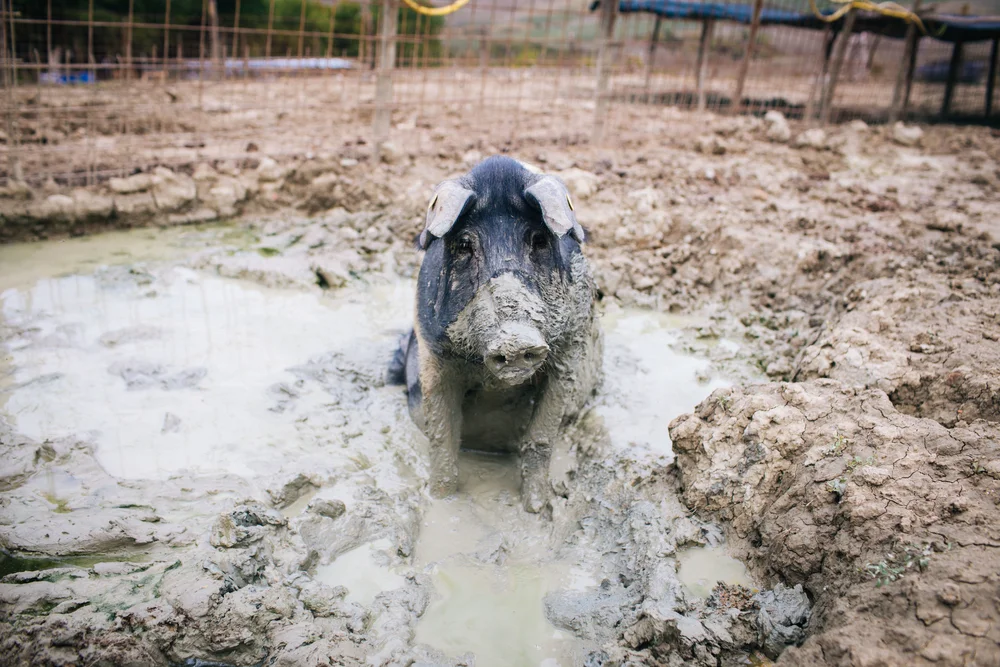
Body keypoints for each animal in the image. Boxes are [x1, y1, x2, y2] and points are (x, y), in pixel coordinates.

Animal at [389, 156, 602, 513]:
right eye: (464, 244)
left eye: (539, 240)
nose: (515, 340)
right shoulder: (433, 353)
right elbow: (442, 438)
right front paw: (441, 505)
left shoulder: (569, 352)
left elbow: (542, 437)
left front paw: (537, 510)